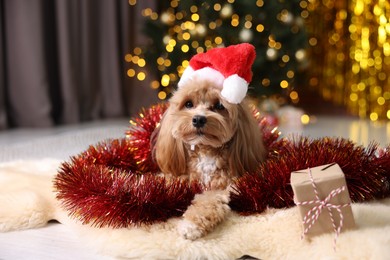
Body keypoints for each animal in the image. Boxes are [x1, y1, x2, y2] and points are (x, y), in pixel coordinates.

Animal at [152, 70, 266, 240]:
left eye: (219, 105)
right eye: (188, 104)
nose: (199, 119)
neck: (205, 151)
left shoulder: (222, 188)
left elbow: (207, 202)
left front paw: (190, 225)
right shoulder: (180, 176)